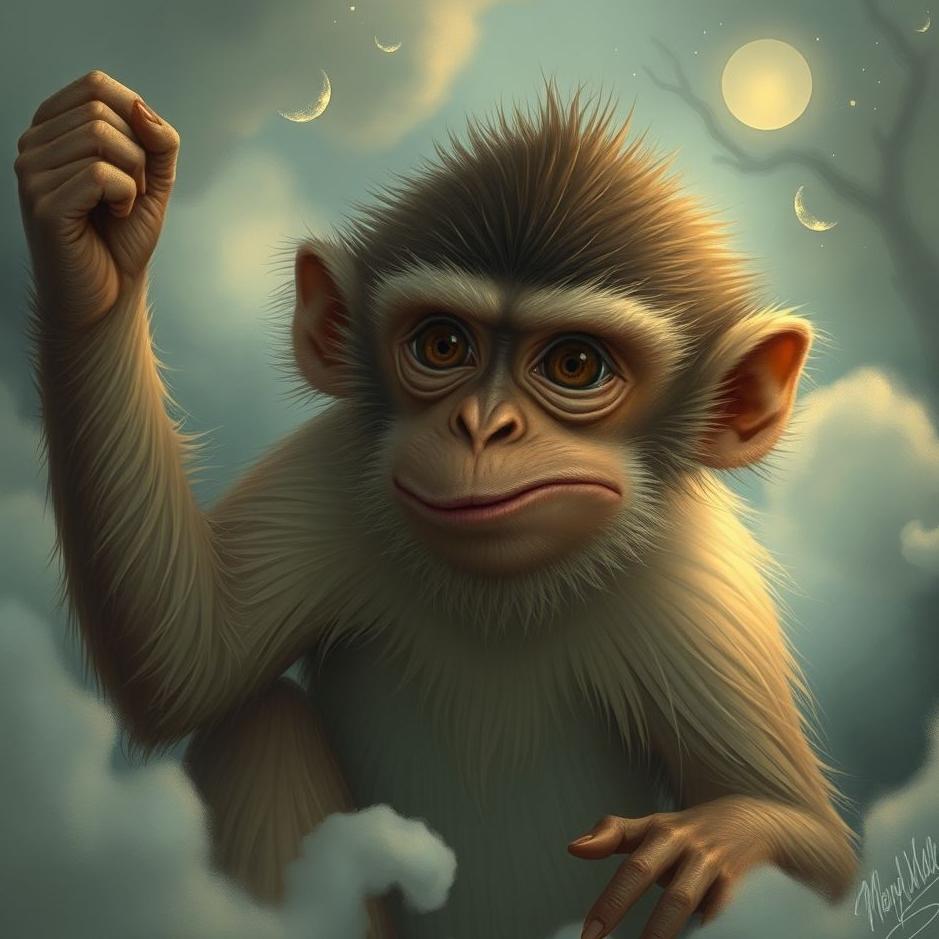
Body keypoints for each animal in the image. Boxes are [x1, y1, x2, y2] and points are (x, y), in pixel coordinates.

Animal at [15, 70, 859, 939]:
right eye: (443, 345)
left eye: (576, 363)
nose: (482, 426)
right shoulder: (333, 469)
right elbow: (186, 659)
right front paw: (94, 235)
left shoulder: (694, 580)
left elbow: (815, 853)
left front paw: (714, 840)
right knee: (260, 720)